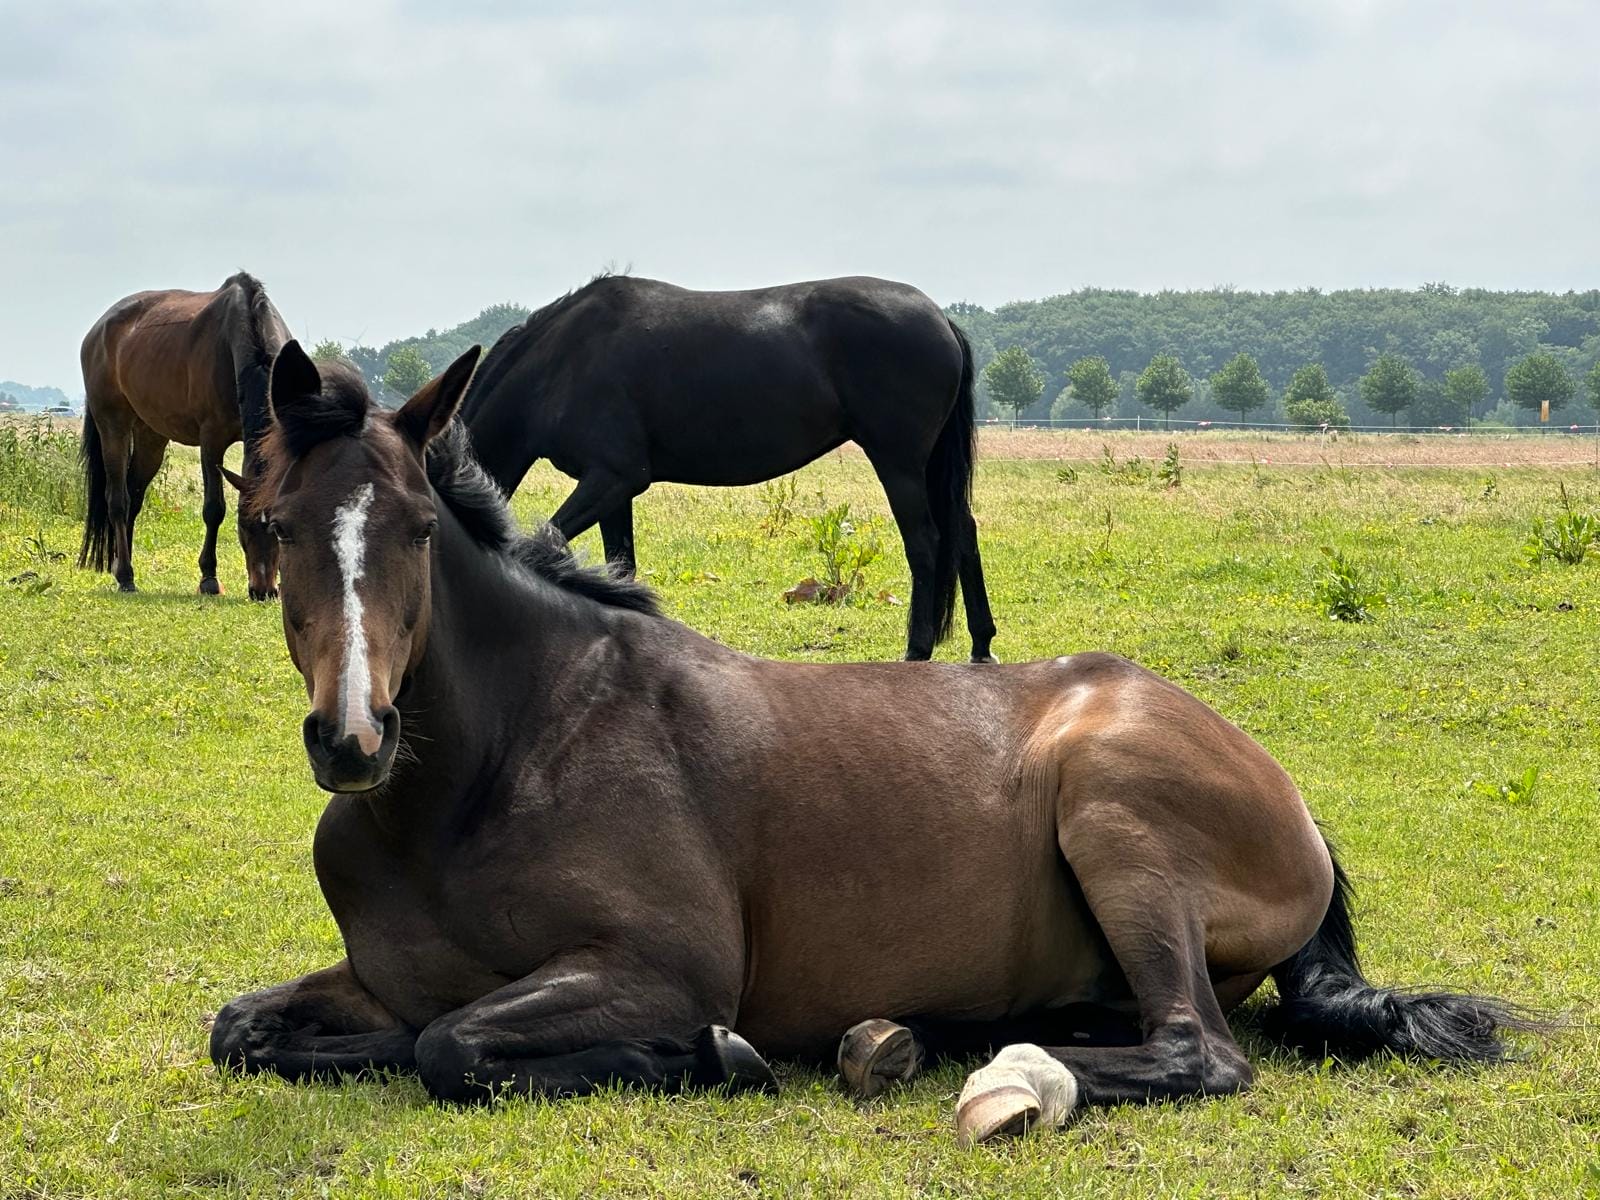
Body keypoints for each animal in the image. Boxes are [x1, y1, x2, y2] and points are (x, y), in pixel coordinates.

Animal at [80, 276, 291, 604]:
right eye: (242, 525)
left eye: (278, 529)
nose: (263, 590)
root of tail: (97, 331)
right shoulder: (211, 440)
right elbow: (214, 509)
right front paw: (209, 578)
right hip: (112, 425)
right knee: (118, 500)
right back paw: (125, 576)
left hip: (150, 437)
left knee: (134, 497)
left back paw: (121, 567)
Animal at [209, 340, 1523, 1145]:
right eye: (272, 523)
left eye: (422, 528)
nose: (353, 738)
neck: (486, 777)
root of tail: (1295, 804)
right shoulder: (376, 975)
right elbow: (250, 1031)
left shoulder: (661, 967)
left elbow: (450, 1046)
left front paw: (708, 1057)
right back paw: (913, 1036)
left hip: (1115, 822)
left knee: (1196, 1049)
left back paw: (997, 1073)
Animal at [457, 273, 992, 662]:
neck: (563, 362)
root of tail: (942, 320)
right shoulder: (612, 490)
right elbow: (620, 565)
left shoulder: (614, 478)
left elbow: (545, 541)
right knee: (962, 532)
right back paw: (982, 645)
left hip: (899, 463)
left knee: (925, 542)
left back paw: (917, 650)